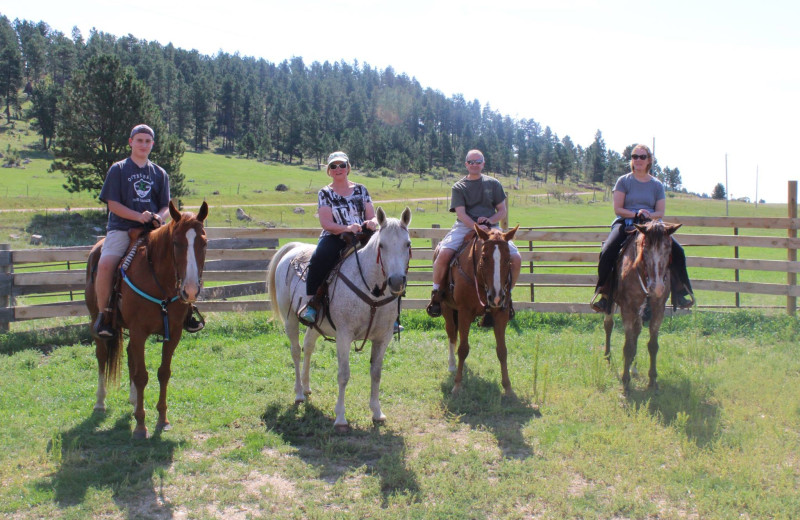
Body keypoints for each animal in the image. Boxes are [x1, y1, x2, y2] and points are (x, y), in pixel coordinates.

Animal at [85, 200, 209, 438]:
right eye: (176, 242)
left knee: (130, 356)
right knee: (102, 356)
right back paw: (100, 402)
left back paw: (134, 401)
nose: (190, 290)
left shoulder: (174, 333)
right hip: (97, 320)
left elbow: (163, 373)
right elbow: (142, 375)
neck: (159, 281)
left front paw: (162, 419)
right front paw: (141, 426)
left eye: (204, 243)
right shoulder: (139, 331)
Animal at [268, 206, 412, 430]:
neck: (372, 291)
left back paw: (307, 387)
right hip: (290, 319)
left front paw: (377, 412)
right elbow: (344, 375)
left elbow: (376, 373)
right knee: (296, 352)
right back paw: (299, 393)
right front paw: (341, 417)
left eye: (407, 244)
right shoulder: (344, 335)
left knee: (308, 347)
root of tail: (294, 248)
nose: (396, 281)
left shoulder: (384, 337)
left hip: (314, 325)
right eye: (382, 245)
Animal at [438, 222, 520, 394]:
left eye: (508, 259)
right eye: (484, 257)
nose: (496, 296)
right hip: (447, 308)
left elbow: (502, 351)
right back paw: (452, 364)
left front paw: (508, 387)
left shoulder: (501, 314)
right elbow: (463, 349)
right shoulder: (464, 312)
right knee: (451, 334)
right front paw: (457, 385)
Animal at [604, 219, 680, 394]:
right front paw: (625, 382)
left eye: (668, 247)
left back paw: (634, 367)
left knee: (636, 332)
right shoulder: (627, 309)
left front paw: (652, 380)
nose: (657, 287)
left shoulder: (658, 309)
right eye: (645, 249)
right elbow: (627, 346)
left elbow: (652, 345)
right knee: (609, 325)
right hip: (610, 303)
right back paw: (608, 359)